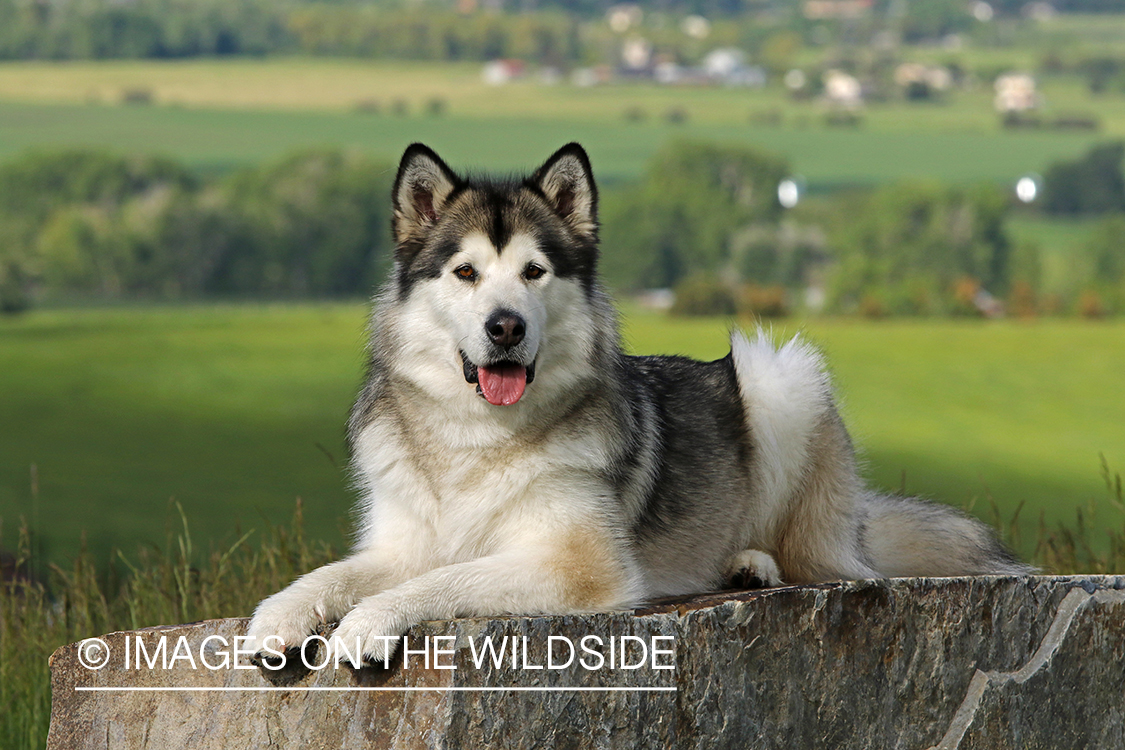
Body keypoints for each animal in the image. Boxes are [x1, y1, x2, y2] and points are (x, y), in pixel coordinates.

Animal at [246, 143, 1030, 665]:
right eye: (465, 273)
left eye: (534, 272)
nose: (506, 326)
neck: (477, 437)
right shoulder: (399, 542)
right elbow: (332, 574)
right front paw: (276, 617)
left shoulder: (575, 563)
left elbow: (443, 579)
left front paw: (366, 624)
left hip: (778, 376)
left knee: (811, 559)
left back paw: (752, 564)